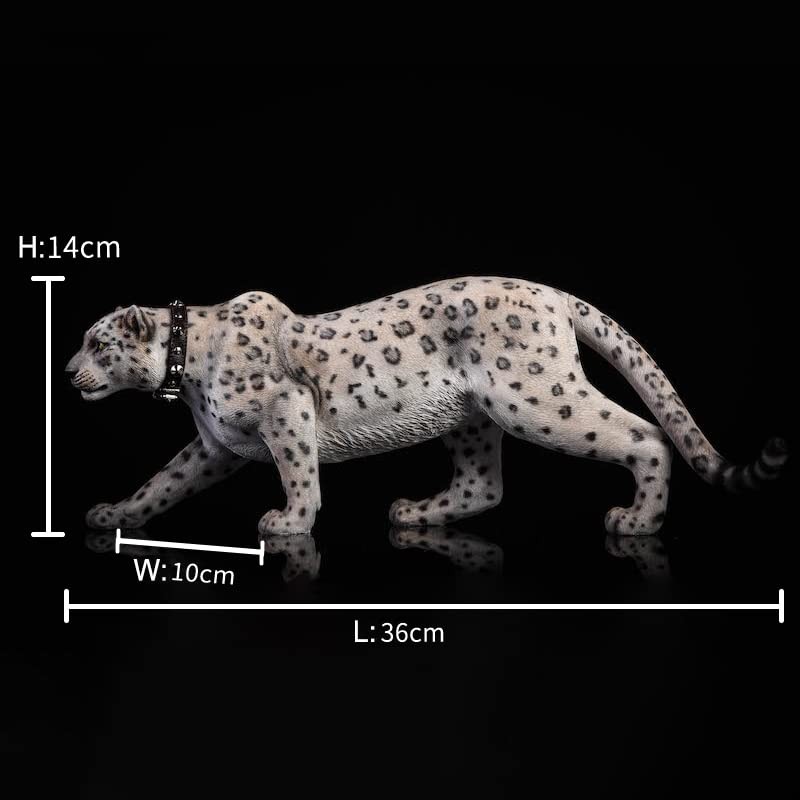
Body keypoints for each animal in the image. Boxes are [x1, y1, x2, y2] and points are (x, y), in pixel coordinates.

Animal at [66, 277, 788, 538]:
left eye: (97, 342)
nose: (69, 372)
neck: (187, 375)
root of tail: (555, 294)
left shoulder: (286, 412)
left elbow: (298, 471)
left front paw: (290, 523)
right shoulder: (214, 446)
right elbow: (162, 482)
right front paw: (115, 514)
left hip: (537, 400)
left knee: (643, 434)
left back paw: (637, 521)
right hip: (473, 421)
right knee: (483, 485)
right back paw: (415, 513)